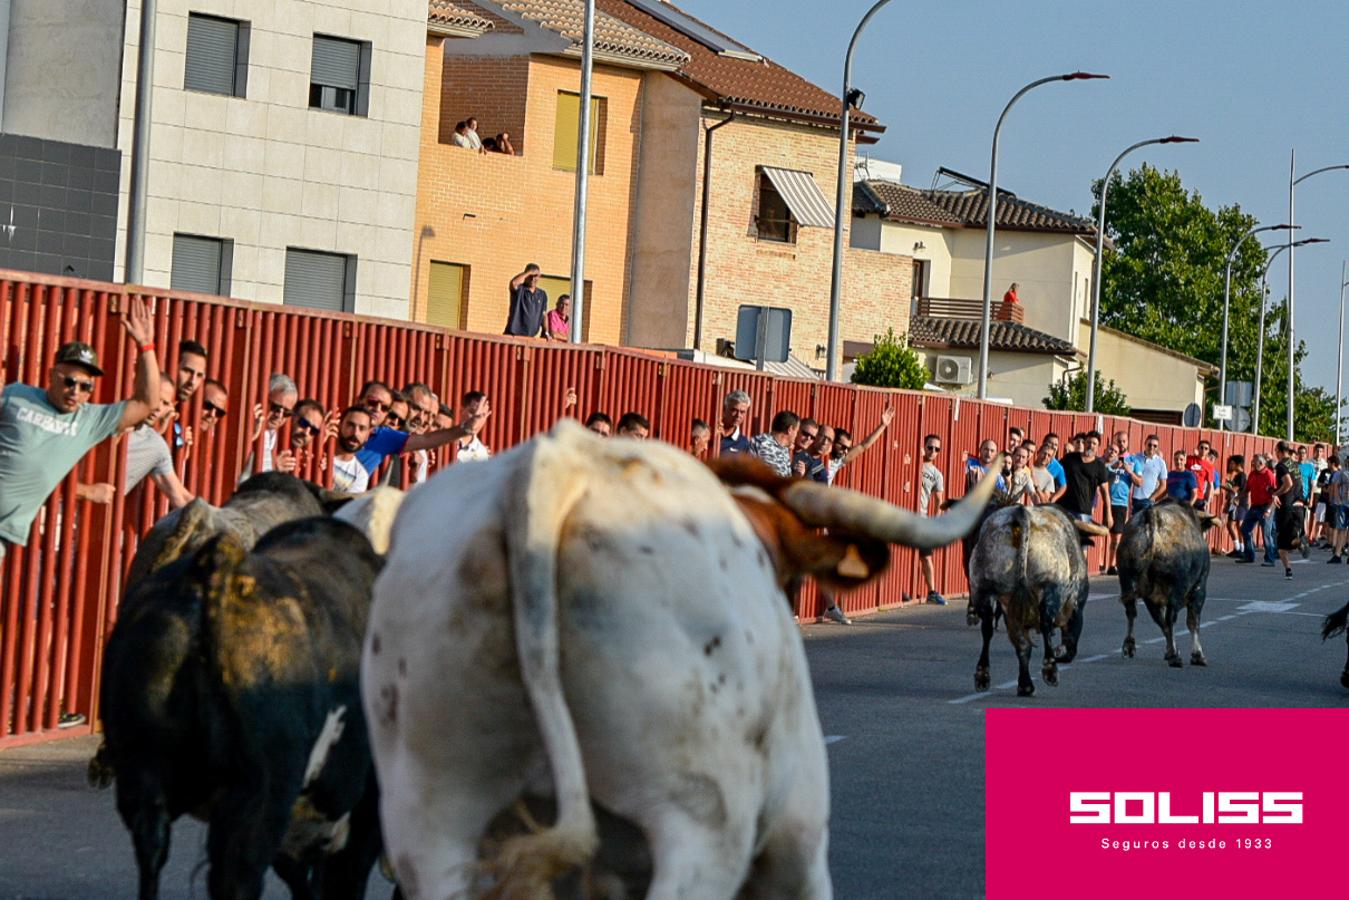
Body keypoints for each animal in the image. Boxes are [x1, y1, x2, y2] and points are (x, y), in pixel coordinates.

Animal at [965, 507, 1089, 696]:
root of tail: (1020, 513)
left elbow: (1023, 646)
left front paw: (1025, 685)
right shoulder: (1076, 607)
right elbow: (1070, 644)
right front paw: (1059, 655)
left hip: (983, 587)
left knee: (988, 629)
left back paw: (983, 676)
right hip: (1049, 586)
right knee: (1045, 623)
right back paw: (1050, 670)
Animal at [1111, 499, 1219, 669]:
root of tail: (1151, 518)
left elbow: (1162, 622)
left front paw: (1171, 650)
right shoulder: (1199, 588)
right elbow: (1192, 622)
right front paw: (1197, 655)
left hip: (1128, 582)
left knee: (1133, 613)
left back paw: (1130, 646)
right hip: (1177, 589)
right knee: (1171, 618)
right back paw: (1175, 657)